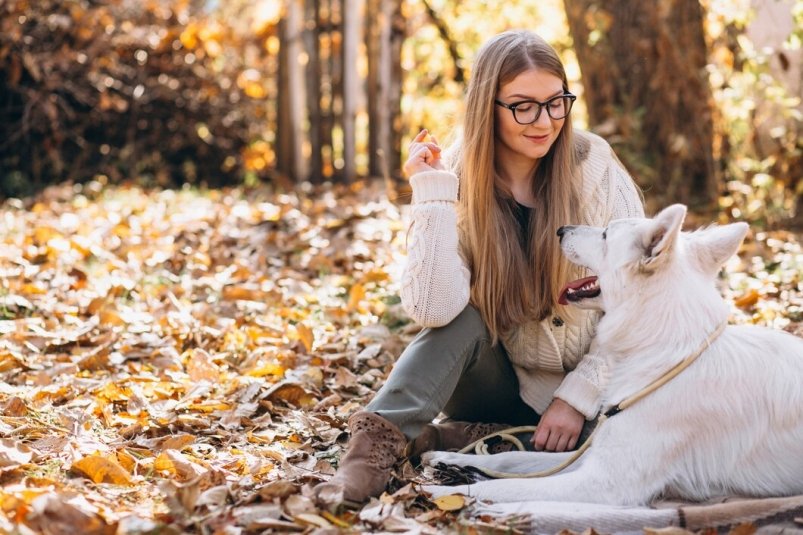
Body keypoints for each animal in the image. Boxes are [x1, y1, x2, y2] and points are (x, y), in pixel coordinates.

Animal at [424, 205, 800, 506]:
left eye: (606, 235)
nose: (561, 229)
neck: (664, 353)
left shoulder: (602, 483)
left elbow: (504, 488)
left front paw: (441, 491)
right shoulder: (589, 457)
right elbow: (509, 462)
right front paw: (446, 458)